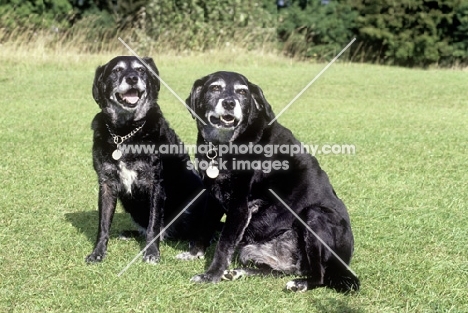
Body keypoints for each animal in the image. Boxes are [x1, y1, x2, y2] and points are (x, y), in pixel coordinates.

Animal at [85, 56, 217, 264]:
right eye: (116, 70)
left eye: (141, 69)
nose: (132, 78)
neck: (125, 133)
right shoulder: (106, 184)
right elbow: (103, 225)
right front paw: (98, 252)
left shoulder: (155, 184)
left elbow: (154, 224)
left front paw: (152, 253)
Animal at [185, 72, 360, 292]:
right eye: (215, 88)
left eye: (242, 92)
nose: (229, 103)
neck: (225, 146)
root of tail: (344, 262)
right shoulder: (213, 196)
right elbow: (204, 227)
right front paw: (194, 254)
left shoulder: (240, 207)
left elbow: (223, 244)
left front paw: (211, 275)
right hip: (251, 250)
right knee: (281, 271)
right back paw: (239, 272)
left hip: (314, 214)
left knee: (319, 276)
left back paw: (301, 284)